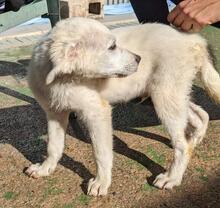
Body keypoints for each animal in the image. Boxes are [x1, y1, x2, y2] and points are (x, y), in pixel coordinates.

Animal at [26, 17, 220, 196]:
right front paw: (45, 168)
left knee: (183, 146)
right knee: (200, 114)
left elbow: (101, 152)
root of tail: (192, 39)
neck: (63, 79)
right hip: (170, 95)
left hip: (164, 97)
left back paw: (172, 177)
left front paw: (101, 182)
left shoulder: (97, 112)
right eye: (112, 47)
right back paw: (195, 139)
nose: (139, 58)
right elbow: (54, 145)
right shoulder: (54, 112)